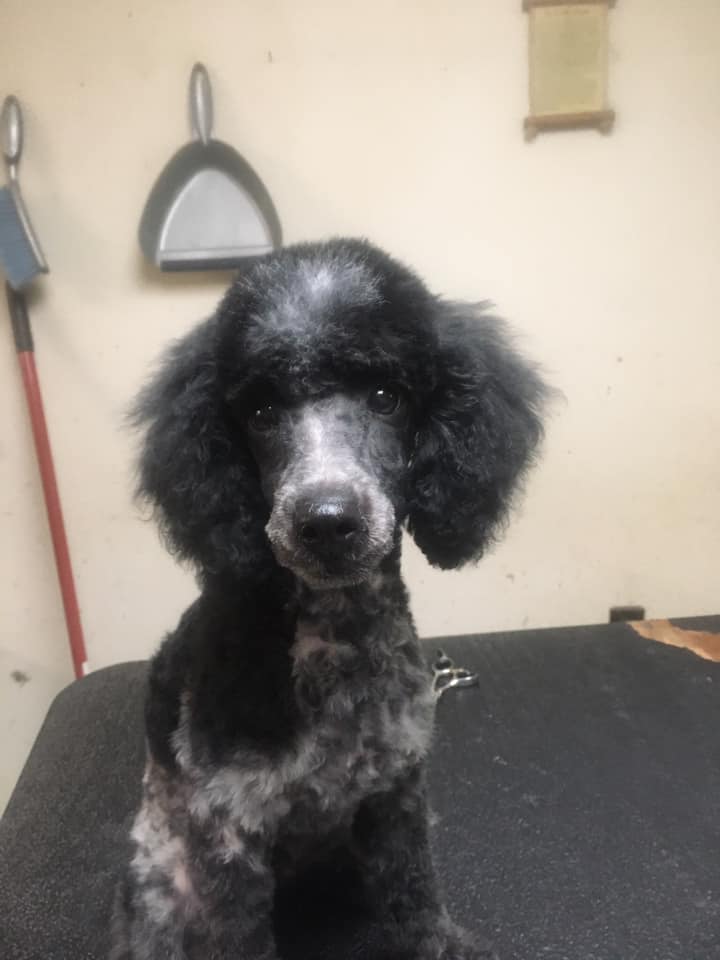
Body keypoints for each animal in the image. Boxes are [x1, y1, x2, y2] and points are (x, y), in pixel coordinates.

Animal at [111, 239, 547, 960]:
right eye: (260, 413)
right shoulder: (229, 834)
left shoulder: (398, 792)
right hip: (161, 878)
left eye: (386, 396)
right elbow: (239, 939)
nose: (326, 521)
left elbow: (415, 897)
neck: (338, 637)